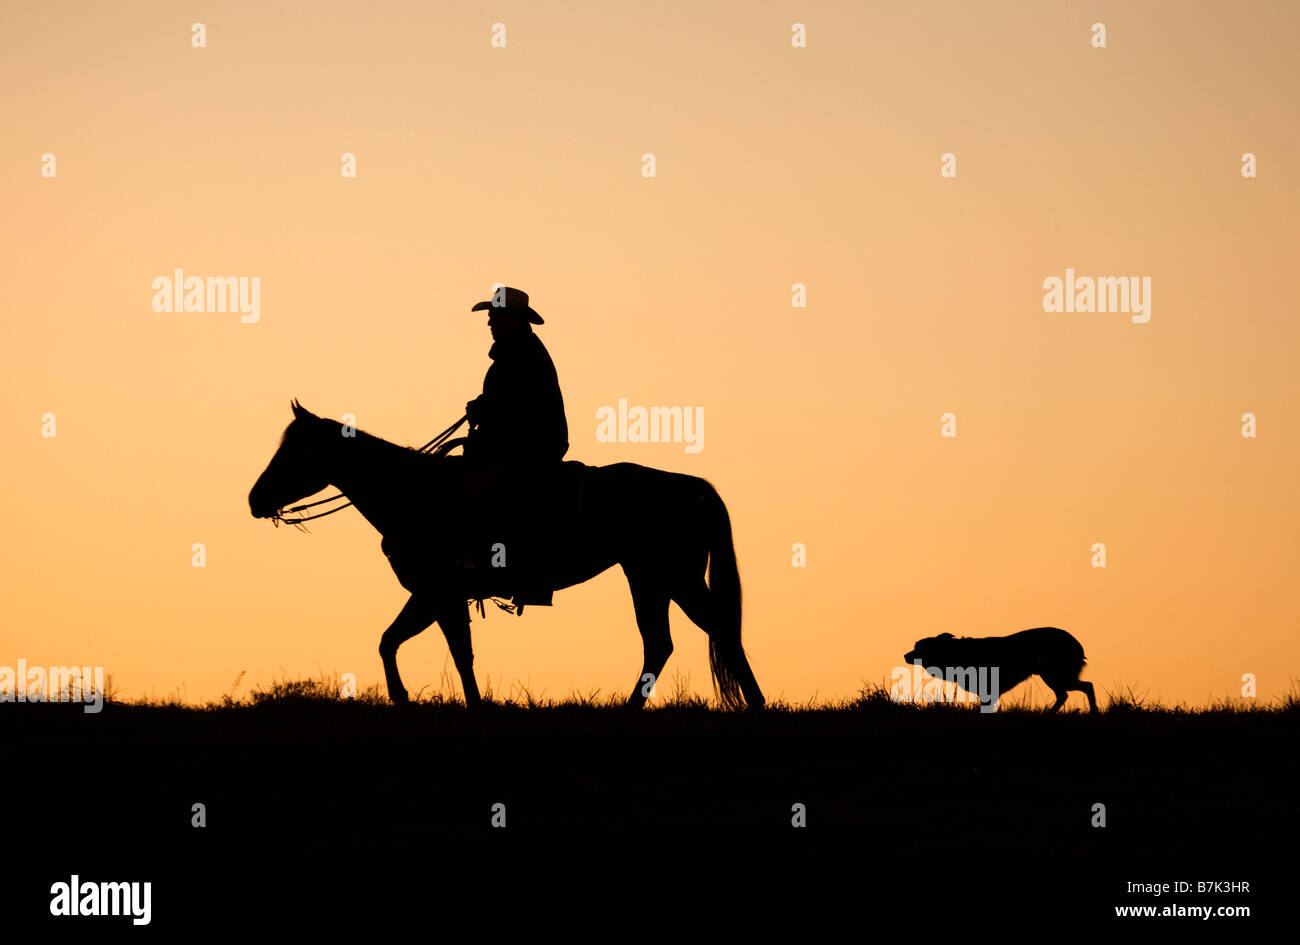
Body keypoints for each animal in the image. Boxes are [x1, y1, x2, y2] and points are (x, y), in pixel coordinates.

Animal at [248, 400, 764, 707]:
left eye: (293, 451)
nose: (255, 499)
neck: (415, 492)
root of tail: (690, 486)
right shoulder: (432, 595)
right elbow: (399, 641)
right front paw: (413, 697)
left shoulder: (439, 592)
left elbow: (450, 651)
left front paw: (440, 700)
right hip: (647, 579)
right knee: (661, 643)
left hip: (674, 578)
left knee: (715, 629)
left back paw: (754, 702)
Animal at [904, 629, 1097, 707]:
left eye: (918, 647)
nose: (905, 655)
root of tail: (1076, 644)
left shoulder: (988, 691)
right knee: (1070, 693)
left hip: (1054, 675)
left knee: (1082, 688)